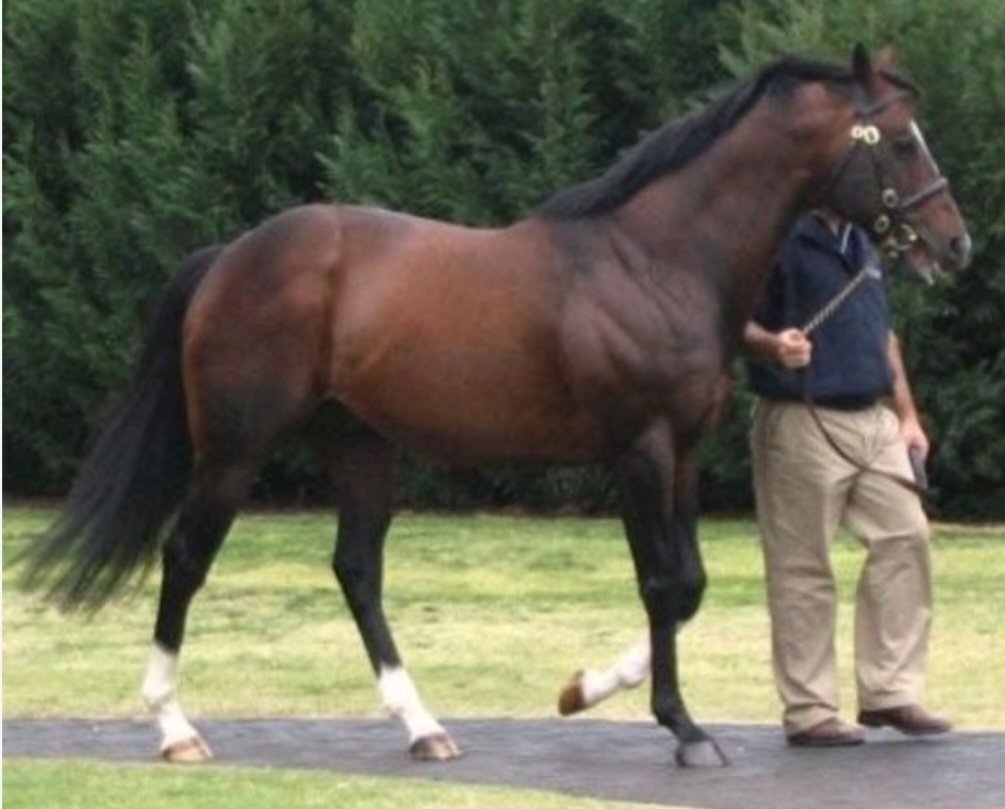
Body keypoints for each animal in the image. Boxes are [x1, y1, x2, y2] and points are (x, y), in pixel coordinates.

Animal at [23, 45, 970, 768]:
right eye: (896, 140)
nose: (954, 242)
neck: (655, 258)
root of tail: (232, 255)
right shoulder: (639, 449)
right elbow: (662, 583)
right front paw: (683, 728)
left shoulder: (685, 450)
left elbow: (690, 585)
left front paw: (583, 688)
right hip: (233, 449)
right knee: (186, 557)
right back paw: (175, 728)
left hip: (361, 445)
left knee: (357, 570)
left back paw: (423, 727)